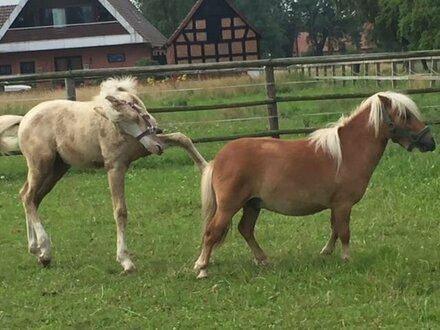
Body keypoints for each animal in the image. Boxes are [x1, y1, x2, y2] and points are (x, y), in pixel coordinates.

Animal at [195, 91, 436, 278]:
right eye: (405, 115)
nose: (430, 142)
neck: (348, 151)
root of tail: (219, 158)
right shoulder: (343, 204)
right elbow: (344, 231)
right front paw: (346, 258)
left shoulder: (336, 205)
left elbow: (335, 229)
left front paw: (326, 252)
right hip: (229, 206)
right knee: (212, 232)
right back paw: (203, 269)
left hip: (252, 204)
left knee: (245, 229)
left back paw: (263, 260)